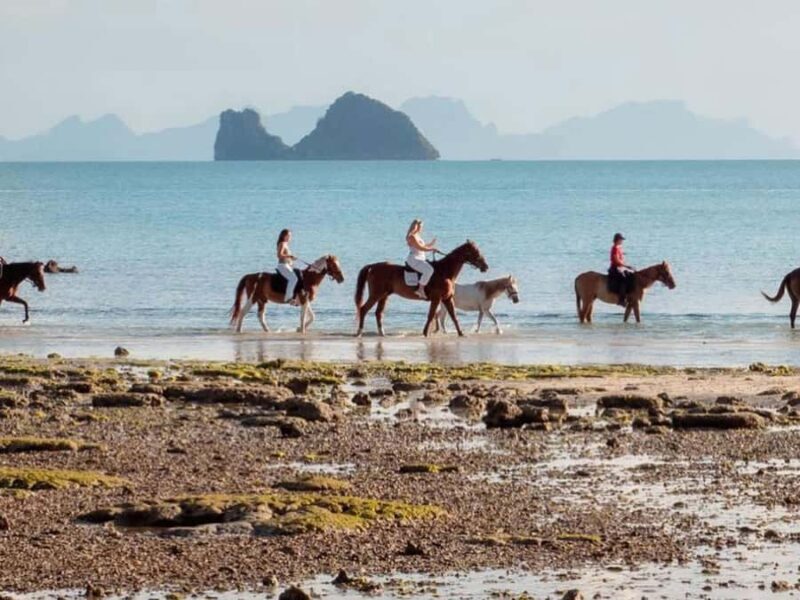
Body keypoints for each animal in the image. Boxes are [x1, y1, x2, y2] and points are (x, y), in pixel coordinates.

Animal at [354, 240, 489, 337]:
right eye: (475, 252)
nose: (485, 267)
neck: (444, 271)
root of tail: (373, 266)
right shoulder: (436, 298)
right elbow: (431, 315)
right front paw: (425, 333)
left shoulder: (447, 298)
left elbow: (453, 316)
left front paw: (461, 333)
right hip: (376, 294)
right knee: (364, 309)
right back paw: (359, 332)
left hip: (384, 295)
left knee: (378, 313)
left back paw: (382, 333)